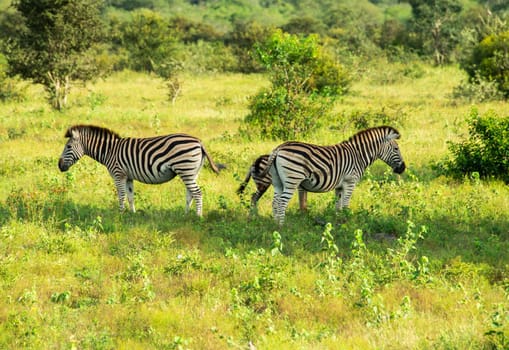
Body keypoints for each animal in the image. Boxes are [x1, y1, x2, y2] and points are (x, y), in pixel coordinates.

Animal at [57, 124, 220, 215]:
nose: (59, 166)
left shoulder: (118, 174)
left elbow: (121, 195)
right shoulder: (128, 176)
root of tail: (199, 142)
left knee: (197, 193)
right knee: (190, 194)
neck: (109, 151)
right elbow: (130, 196)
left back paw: (198, 217)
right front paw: (132, 214)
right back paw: (185, 215)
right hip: (192, 172)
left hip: (185, 169)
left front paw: (120, 214)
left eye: (68, 146)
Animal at [256, 125, 406, 224]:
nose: (403, 168)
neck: (358, 155)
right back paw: (282, 226)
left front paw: (339, 221)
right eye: (396, 149)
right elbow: (345, 204)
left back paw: (275, 225)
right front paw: (347, 222)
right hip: (292, 180)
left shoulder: (340, 186)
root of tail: (278, 148)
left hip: (277, 181)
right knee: (282, 202)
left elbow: (338, 205)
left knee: (275, 202)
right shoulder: (350, 182)